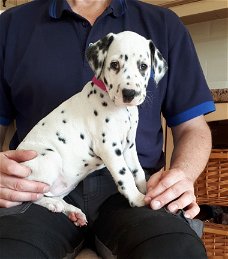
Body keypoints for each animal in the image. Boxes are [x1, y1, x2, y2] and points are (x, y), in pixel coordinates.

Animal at [17, 31, 167, 228]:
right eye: (114, 64)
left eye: (143, 66)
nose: (129, 93)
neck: (122, 110)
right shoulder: (109, 147)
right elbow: (125, 175)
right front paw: (137, 198)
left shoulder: (128, 146)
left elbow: (137, 171)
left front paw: (145, 189)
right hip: (49, 159)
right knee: (32, 196)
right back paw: (53, 204)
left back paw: (72, 211)